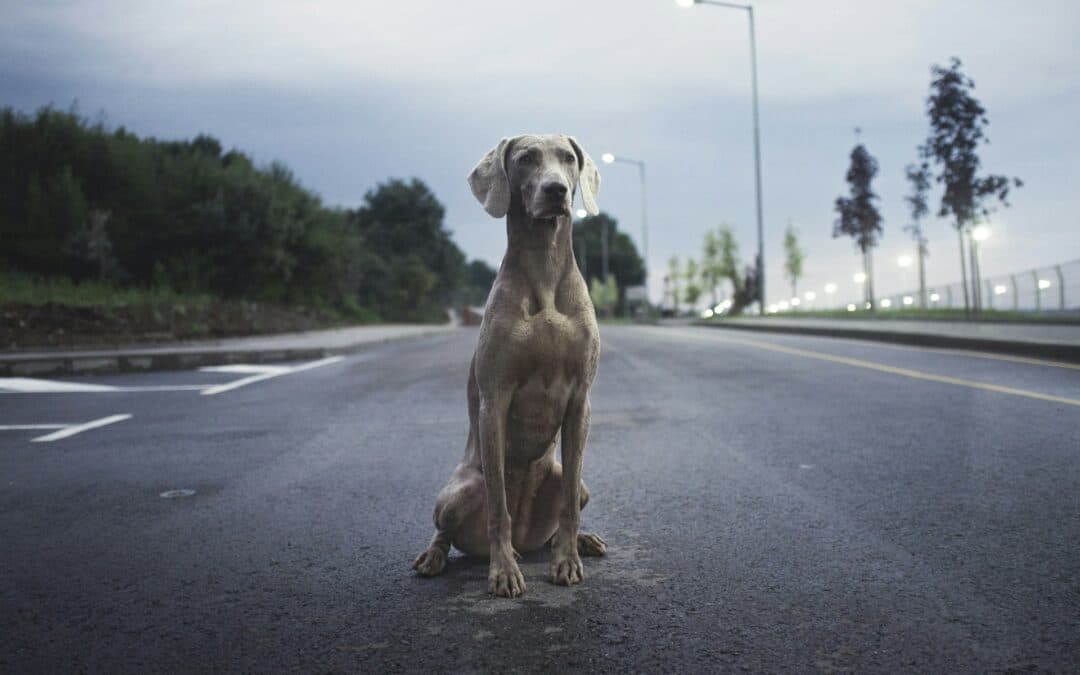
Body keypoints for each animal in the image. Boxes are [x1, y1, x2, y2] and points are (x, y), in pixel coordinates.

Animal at [414, 134, 609, 596]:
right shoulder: (495, 399)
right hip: (459, 491)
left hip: (570, 482)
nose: (556, 190)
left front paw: (567, 561)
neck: (544, 268)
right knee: (447, 529)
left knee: (568, 502)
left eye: (569, 159)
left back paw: (579, 541)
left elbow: (570, 501)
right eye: (526, 159)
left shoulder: (581, 401)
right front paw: (502, 571)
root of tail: (526, 539)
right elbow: (498, 504)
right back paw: (436, 557)